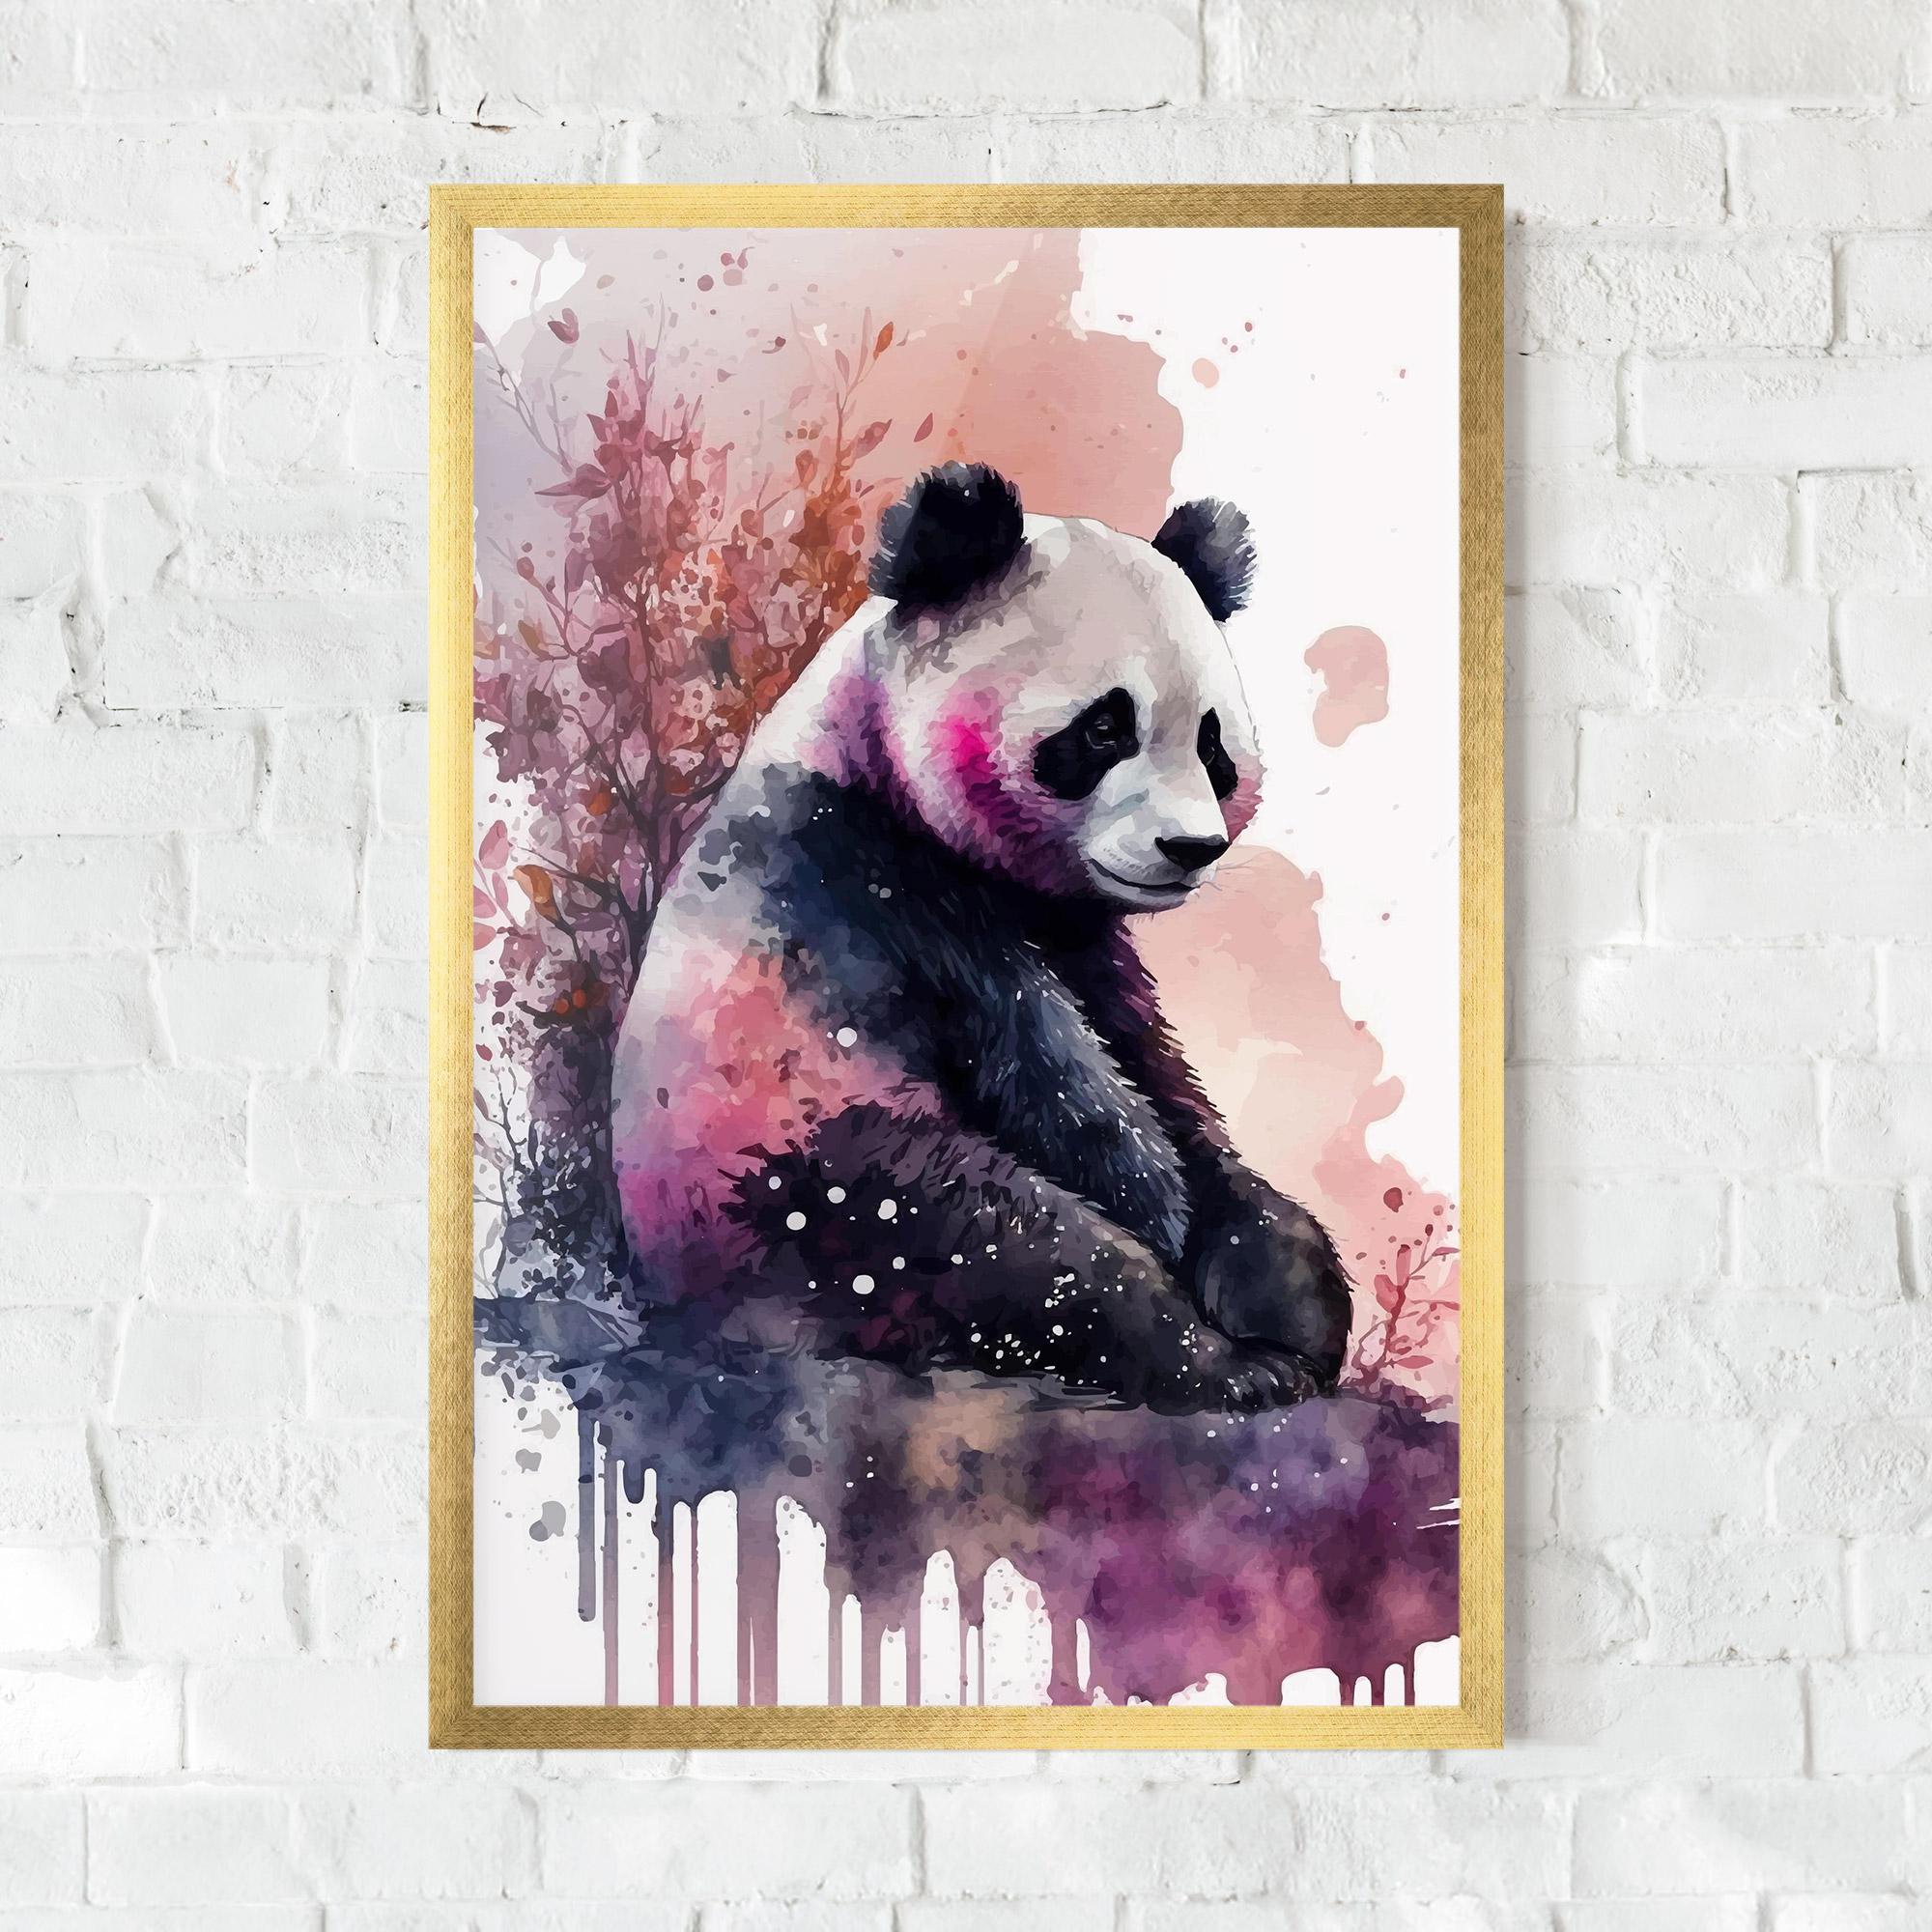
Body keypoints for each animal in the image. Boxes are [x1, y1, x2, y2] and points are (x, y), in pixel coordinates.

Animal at [609, 463, 1352, 1415]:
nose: (1191, 847)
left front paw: (1286, 1286)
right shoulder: (878, 889)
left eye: (1214, 744)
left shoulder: (1087, 943)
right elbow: (1063, 1089)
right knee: (1021, 1251)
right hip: (805, 1185)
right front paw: (1177, 1232)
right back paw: (1218, 1368)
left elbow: (1168, 1088)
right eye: (1103, 728)